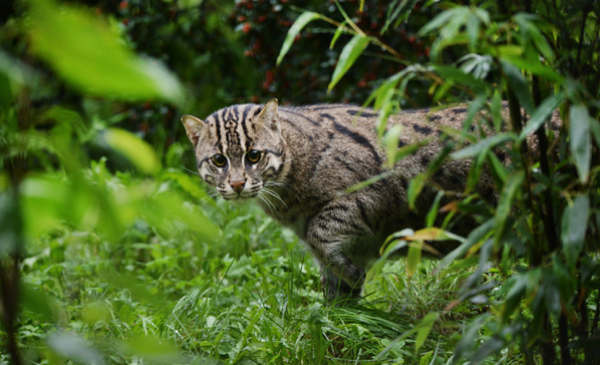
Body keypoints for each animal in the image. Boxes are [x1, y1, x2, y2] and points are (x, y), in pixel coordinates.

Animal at [180, 99, 556, 302]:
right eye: (219, 161)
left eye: (254, 156)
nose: (237, 184)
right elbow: (332, 281)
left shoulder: (375, 195)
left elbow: (321, 232)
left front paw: (351, 276)